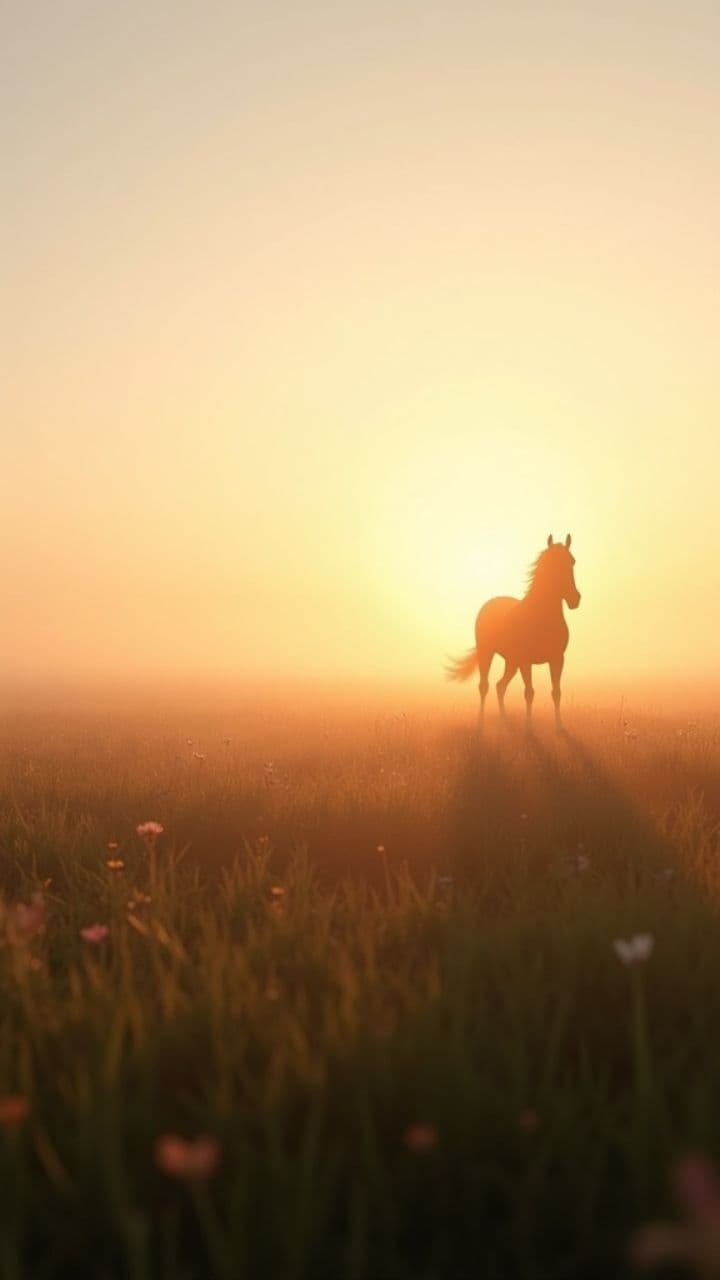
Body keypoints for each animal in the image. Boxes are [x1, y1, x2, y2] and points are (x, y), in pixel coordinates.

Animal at [446, 534, 581, 731]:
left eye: (572, 561)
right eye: (553, 564)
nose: (575, 600)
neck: (543, 616)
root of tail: (489, 603)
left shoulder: (557, 659)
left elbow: (556, 692)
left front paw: (560, 727)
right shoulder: (526, 661)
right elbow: (529, 692)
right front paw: (529, 728)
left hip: (511, 662)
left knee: (500, 686)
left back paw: (504, 719)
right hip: (487, 654)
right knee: (484, 686)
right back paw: (480, 723)